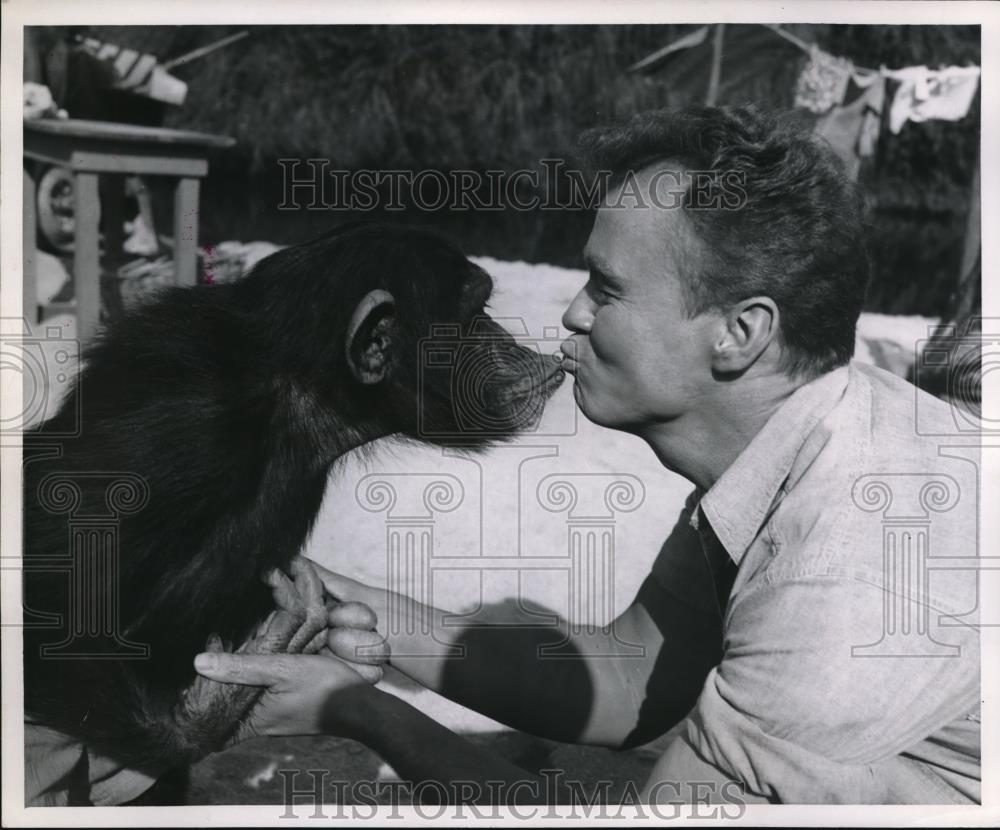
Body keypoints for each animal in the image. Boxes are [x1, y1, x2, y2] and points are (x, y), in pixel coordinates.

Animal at [21, 219, 564, 800]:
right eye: (475, 312)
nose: (510, 338)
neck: (305, 388)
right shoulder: (175, 430)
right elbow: (48, 602)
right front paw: (207, 711)